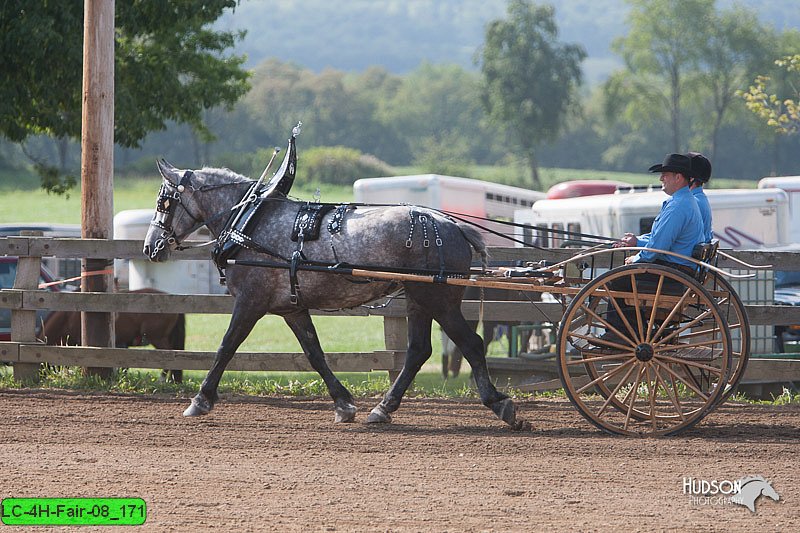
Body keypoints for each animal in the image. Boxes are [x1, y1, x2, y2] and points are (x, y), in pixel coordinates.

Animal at [142, 161, 532, 428]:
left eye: (163, 202)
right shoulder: (291, 308)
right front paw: (344, 404)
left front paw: (200, 400)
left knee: (471, 344)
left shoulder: (250, 302)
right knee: (418, 351)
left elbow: (225, 347)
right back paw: (383, 408)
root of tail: (454, 225)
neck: (250, 221)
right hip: (418, 299)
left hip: (438, 299)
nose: (150, 247)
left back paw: (501, 405)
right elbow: (315, 353)